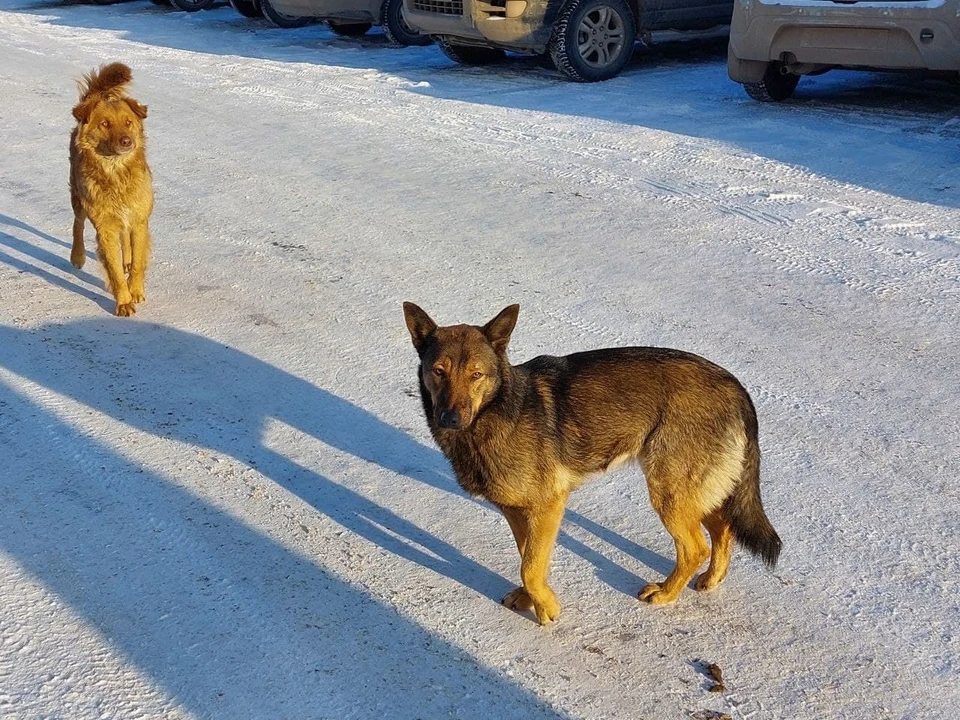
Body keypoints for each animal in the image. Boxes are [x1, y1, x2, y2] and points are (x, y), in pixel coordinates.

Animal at [69, 63, 153, 316]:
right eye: (105, 124)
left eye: (128, 122)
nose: (126, 141)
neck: (116, 173)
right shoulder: (105, 227)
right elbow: (114, 271)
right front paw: (124, 301)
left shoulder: (139, 220)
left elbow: (138, 263)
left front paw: (135, 290)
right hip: (78, 198)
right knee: (77, 224)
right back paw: (77, 256)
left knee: (125, 240)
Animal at [402, 302, 784, 624]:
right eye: (438, 371)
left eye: (476, 375)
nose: (450, 418)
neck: (496, 410)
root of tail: (734, 385)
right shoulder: (519, 511)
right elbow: (530, 558)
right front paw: (531, 599)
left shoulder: (548, 505)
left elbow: (530, 566)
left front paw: (546, 608)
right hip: (693, 489)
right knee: (724, 528)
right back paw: (710, 579)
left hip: (669, 493)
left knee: (696, 547)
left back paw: (666, 593)